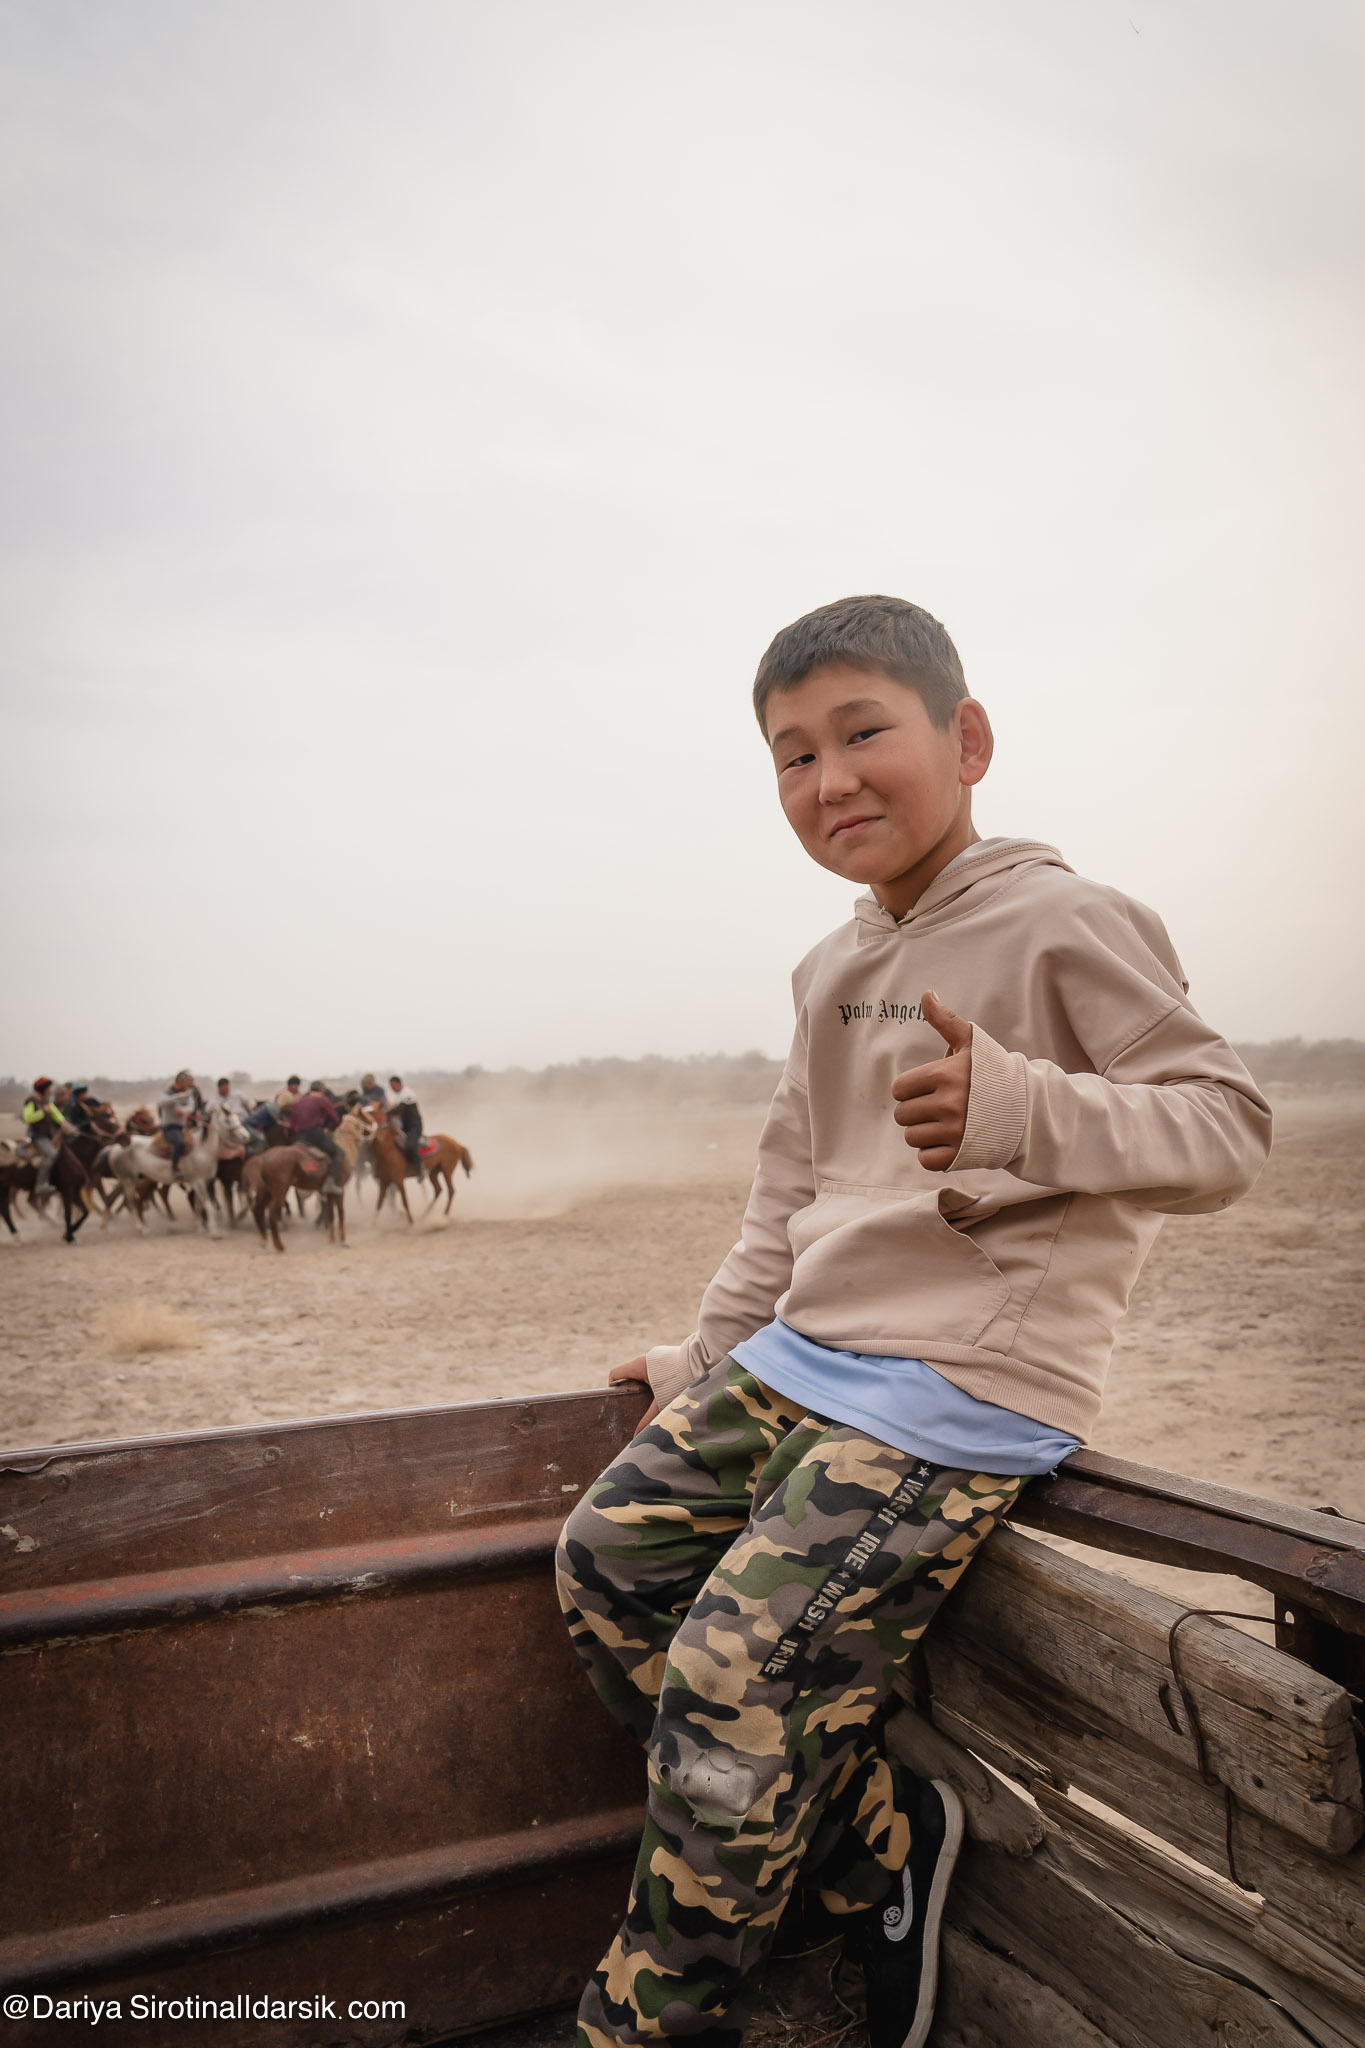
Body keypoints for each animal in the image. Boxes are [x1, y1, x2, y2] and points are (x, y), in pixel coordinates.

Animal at [246, 1110, 368, 1252]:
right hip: (279, 1191)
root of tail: (263, 1157)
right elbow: (341, 1214)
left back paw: (263, 1240)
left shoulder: (329, 1193)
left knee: (258, 1210)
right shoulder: (339, 1190)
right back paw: (279, 1246)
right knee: (272, 1215)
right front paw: (343, 1241)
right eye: (366, 1117)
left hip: (266, 1191)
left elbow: (331, 1215)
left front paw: (331, 1240)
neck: (344, 1147)